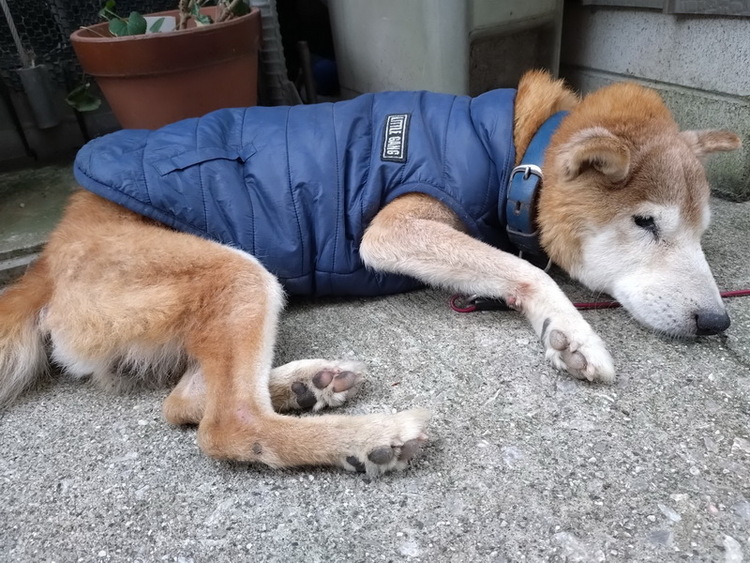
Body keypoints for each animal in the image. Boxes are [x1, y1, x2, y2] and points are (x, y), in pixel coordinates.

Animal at [0, 71, 740, 476]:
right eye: (646, 223)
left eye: (701, 232)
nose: (718, 320)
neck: (514, 153)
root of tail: (49, 257)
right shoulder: (389, 231)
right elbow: (518, 267)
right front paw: (571, 332)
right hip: (239, 272)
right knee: (227, 421)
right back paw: (370, 437)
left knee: (187, 400)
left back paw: (305, 385)